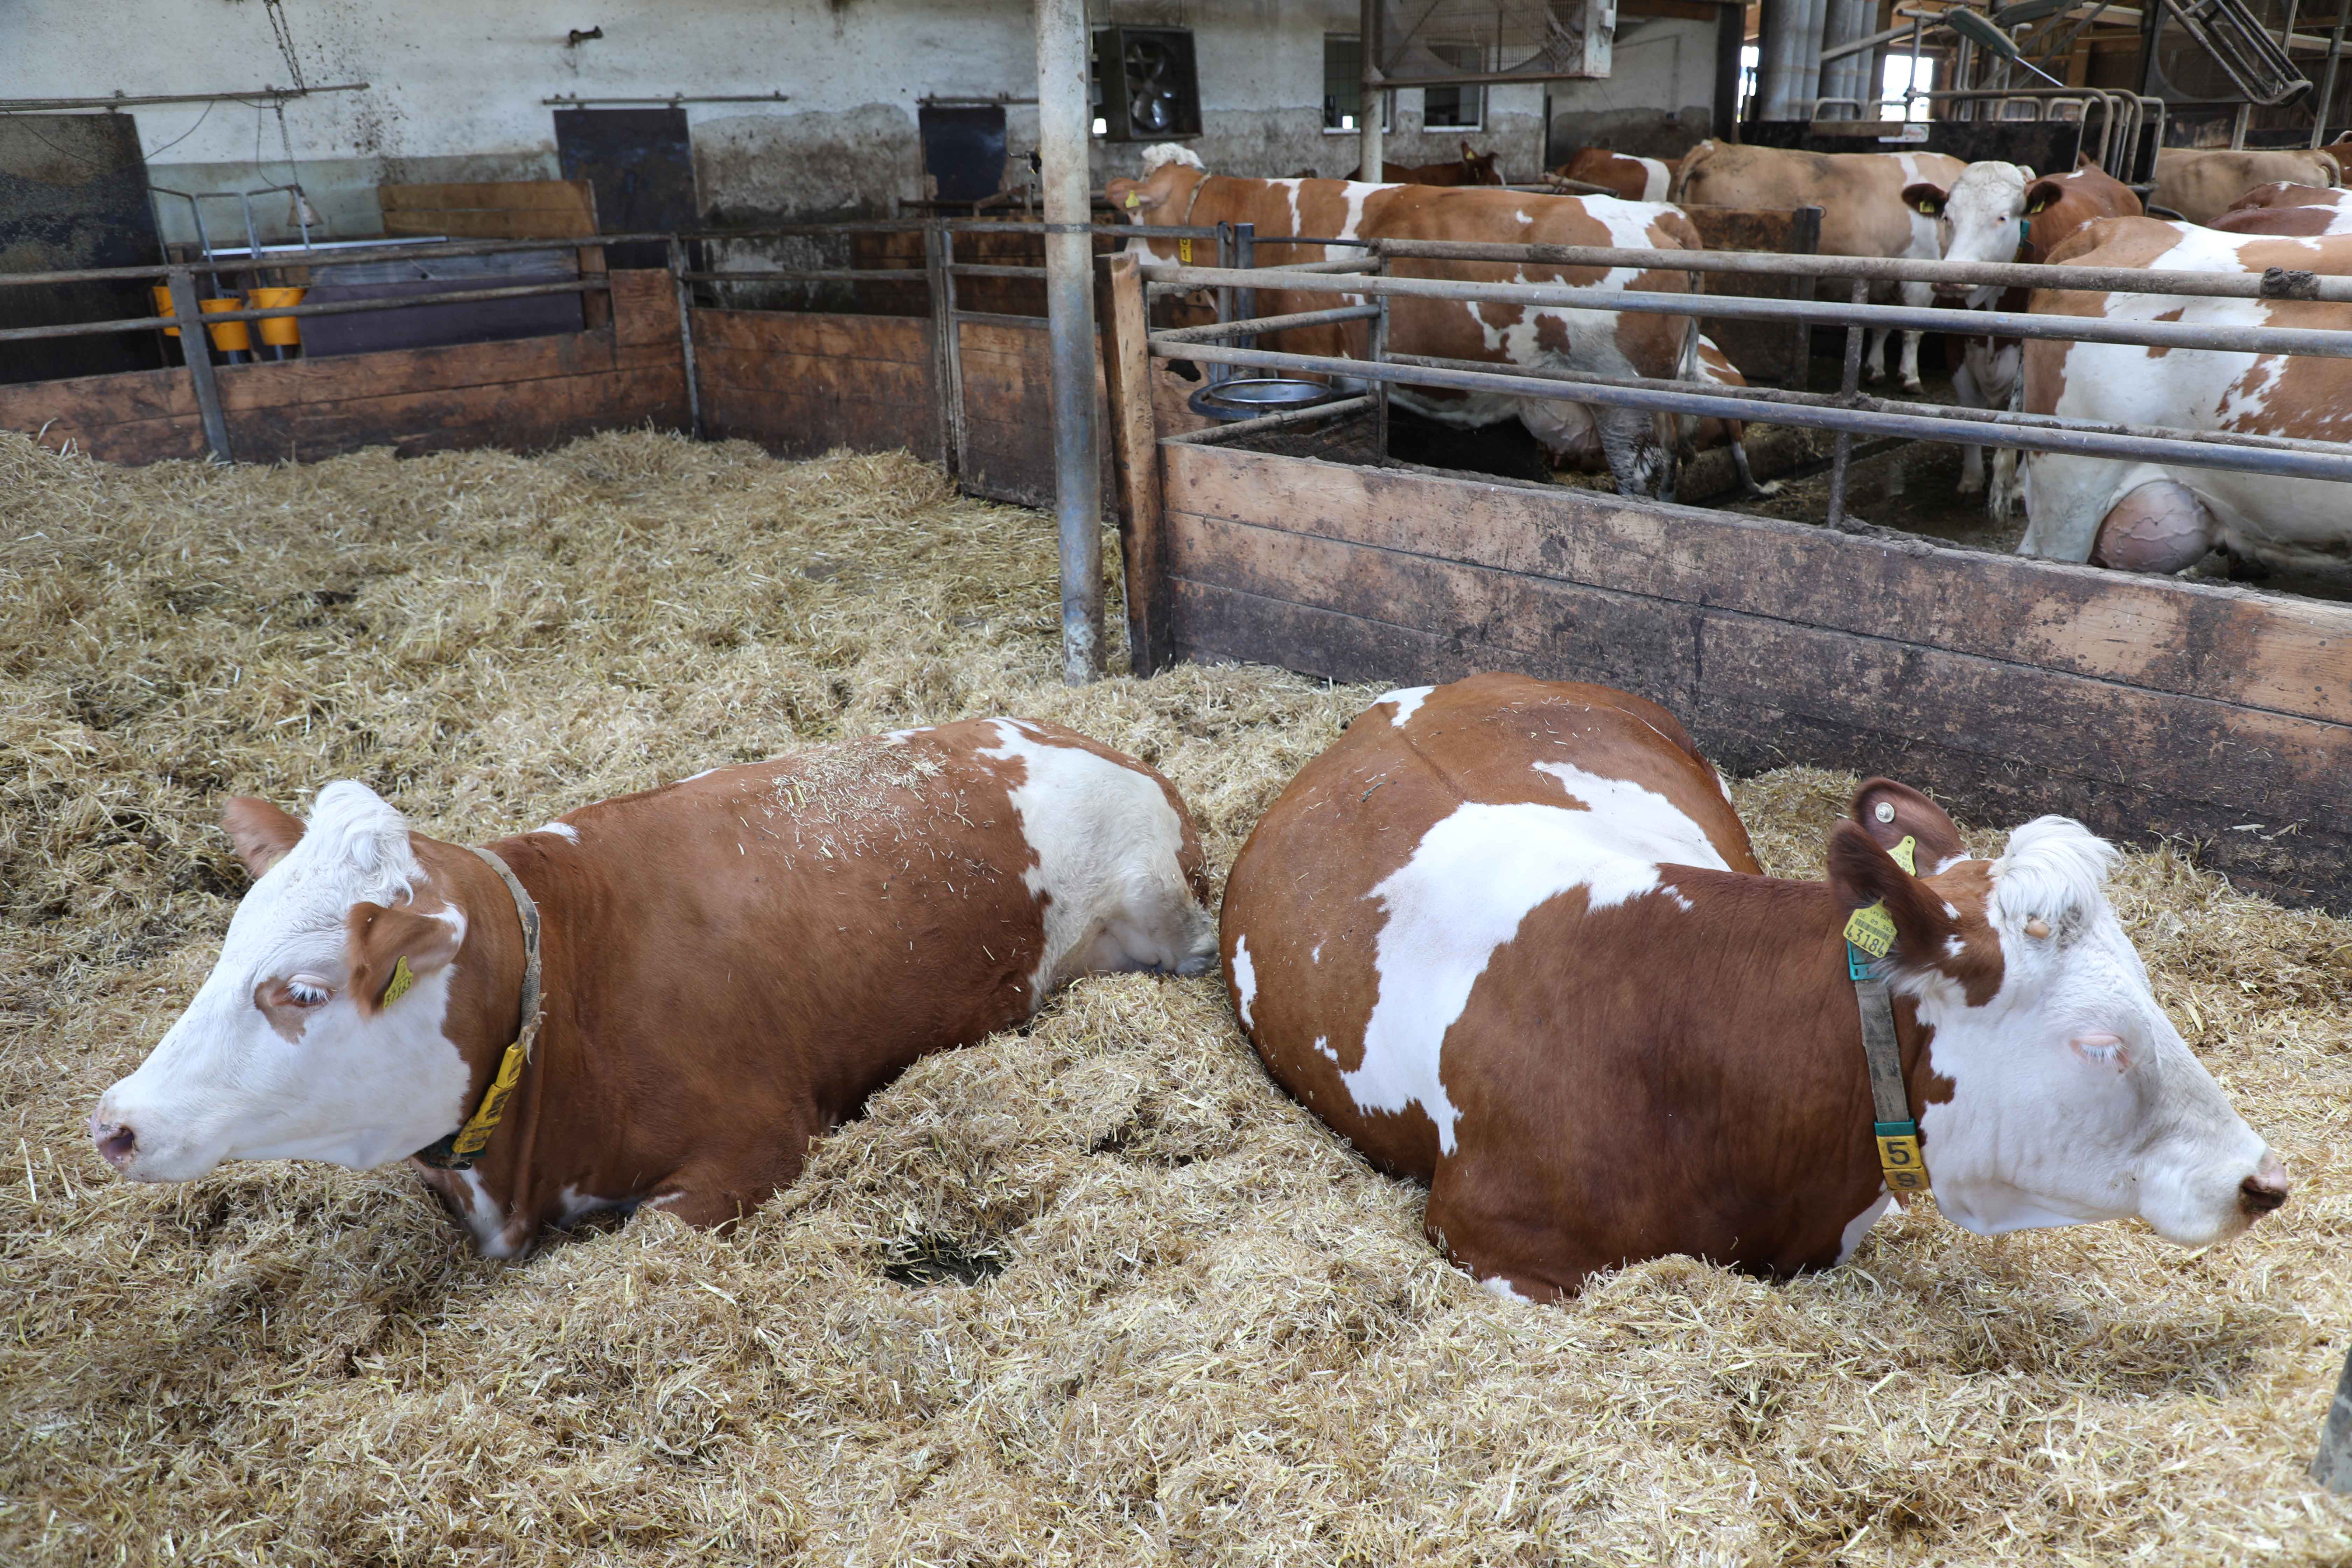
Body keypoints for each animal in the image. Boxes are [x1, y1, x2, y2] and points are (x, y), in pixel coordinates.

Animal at [1673, 138, 1967, 393]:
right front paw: (1911, 378)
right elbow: (1913, 331)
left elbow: (1883, 326)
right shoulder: (1920, 276)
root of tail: (1716, 147)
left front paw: (1876, 370)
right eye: (1947, 218)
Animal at [1901, 158, 2143, 507]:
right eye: (1947, 217)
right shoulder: (1956, 348)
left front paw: (2016, 485)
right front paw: (1971, 478)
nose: (1952, 278)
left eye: (2002, 217)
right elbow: (1969, 409)